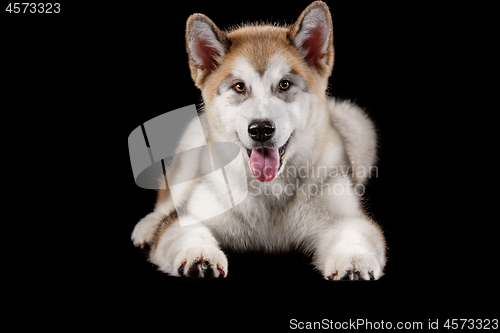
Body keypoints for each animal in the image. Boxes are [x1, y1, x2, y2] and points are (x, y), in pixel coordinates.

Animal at [130, 1, 386, 278]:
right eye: (239, 87)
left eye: (284, 84)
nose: (261, 129)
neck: (270, 190)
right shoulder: (191, 214)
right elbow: (182, 229)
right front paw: (199, 256)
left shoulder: (345, 217)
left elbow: (354, 232)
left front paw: (354, 261)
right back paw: (148, 226)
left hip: (359, 124)